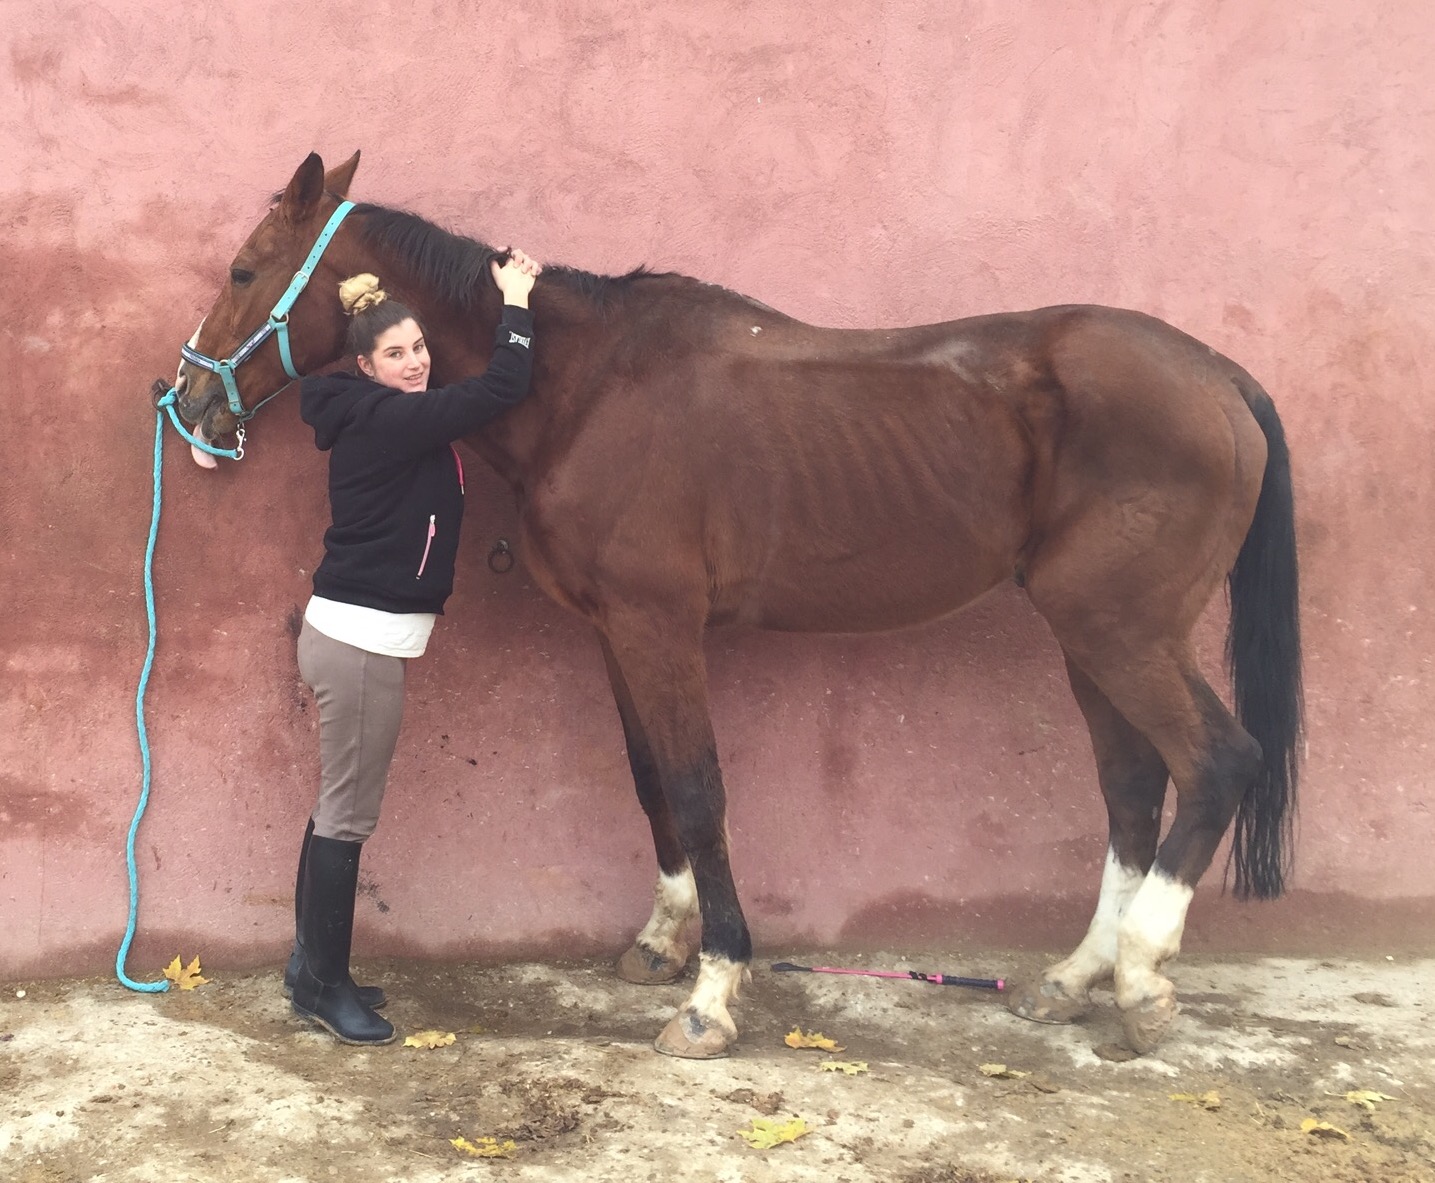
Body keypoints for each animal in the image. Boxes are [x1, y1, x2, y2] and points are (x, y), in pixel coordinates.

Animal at [170, 151, 1302, 1058]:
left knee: (1216, 761)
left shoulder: (660, 628)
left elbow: (698, 786)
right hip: (1089, 637)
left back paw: (1142, 980)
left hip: (1121, 630)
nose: (188, 403)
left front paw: (713, 993)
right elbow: (649, 783)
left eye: (243, 271)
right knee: (1130, 789)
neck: (586, 387)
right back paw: (1071, 980)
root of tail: (1220, 377)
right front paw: (659, 942)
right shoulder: (618, 633)